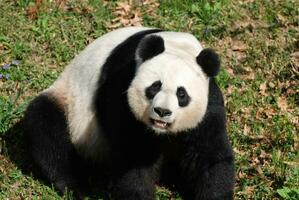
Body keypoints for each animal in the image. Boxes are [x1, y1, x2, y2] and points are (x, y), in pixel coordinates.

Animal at [23, 26, 236, 198]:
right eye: (154, 87)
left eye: (181, 94)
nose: (162, 111)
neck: (177, 47)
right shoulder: (121, 85)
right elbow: (133, 155)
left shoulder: (209, 102)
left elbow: (208, 155)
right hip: (69, 104)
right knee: (47, 129)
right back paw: (77, 187)